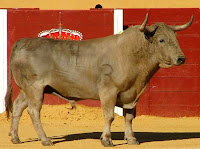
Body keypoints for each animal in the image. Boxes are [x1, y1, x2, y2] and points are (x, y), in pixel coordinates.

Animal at [5, 14, 192, 147]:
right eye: (161, 40)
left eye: (176, 39)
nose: (181, 58)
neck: (131, 55)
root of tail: (22, 42)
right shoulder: (108, 92)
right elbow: (109, 116)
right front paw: (107, 140)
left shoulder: (132, 93)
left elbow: (129, 117)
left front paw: (131, 139)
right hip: (35, 88)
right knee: (33, 111)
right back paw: (45, 140)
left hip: (27, 89)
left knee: (18, 106)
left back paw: (15, 138)